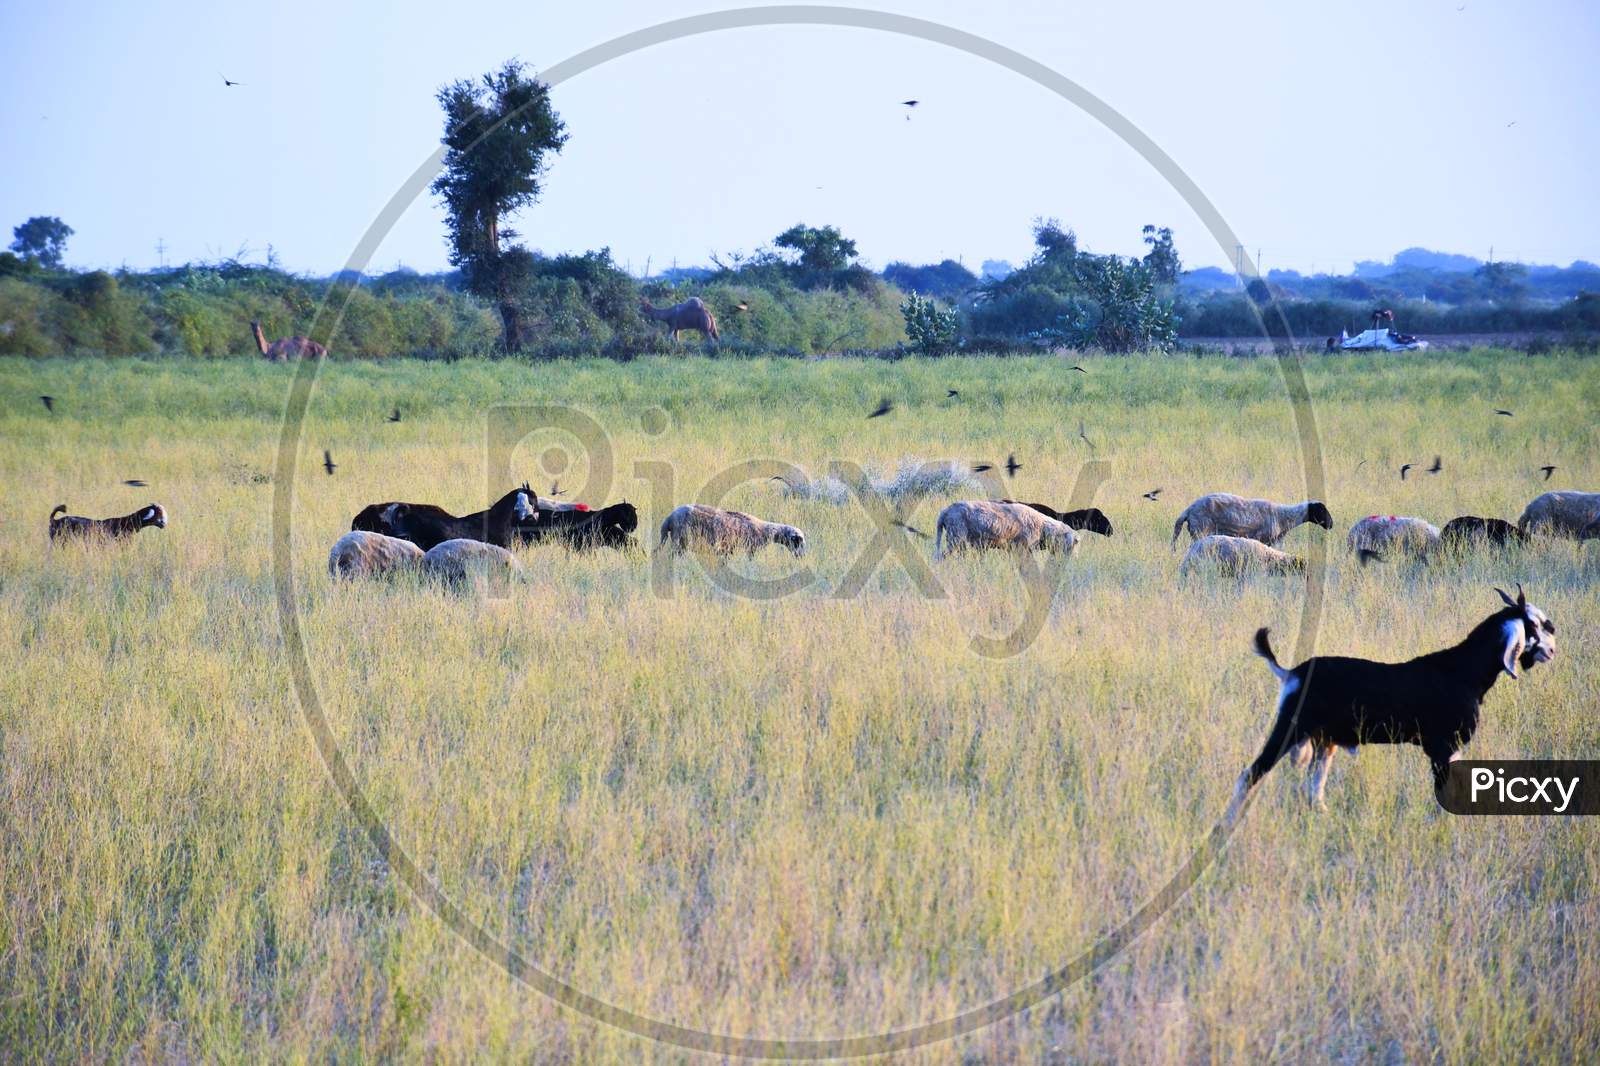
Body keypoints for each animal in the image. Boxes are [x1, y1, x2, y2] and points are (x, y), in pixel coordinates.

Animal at [652, 505, 806, 557]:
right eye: (798, 541)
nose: (801, 556)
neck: (765, 529)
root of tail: (668, 519)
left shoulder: (729, 549)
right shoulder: (750, 549)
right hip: (681, 540)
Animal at [934, 499, 1081, 560]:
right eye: (1074, 543)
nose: (1072, 560)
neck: (1041, 526)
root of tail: (945, 512)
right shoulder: (1020, 547)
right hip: (956, 537)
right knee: (942, 556)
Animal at [1171, 492, 1331, 547]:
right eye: (1322, 510)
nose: (1331, 524)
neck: (1283, 517)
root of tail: (1189, 510)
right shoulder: (1262, 539)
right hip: (1200, 530)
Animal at [1222, 582, 1548, 813]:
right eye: (1534, 624)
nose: (1552, 648)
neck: (1463, 670)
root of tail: (1292, 673)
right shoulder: (1442, 748)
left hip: (1322, 741)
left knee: (1313, 784)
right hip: (1290, 730)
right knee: (1250, 775)